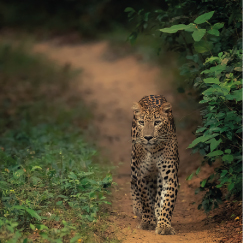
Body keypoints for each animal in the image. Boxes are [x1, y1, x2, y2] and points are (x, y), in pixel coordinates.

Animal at [131, 94, 178, 234]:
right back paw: (137, 207)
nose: (148, 137)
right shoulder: (142, 174)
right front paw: (147, 222)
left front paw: (164, 226)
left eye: (157, 122)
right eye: (142, 122)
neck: (153, 150)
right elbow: (146, 199)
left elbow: (167, 200)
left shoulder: (170, 175)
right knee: (132, 182)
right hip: (134, 161)